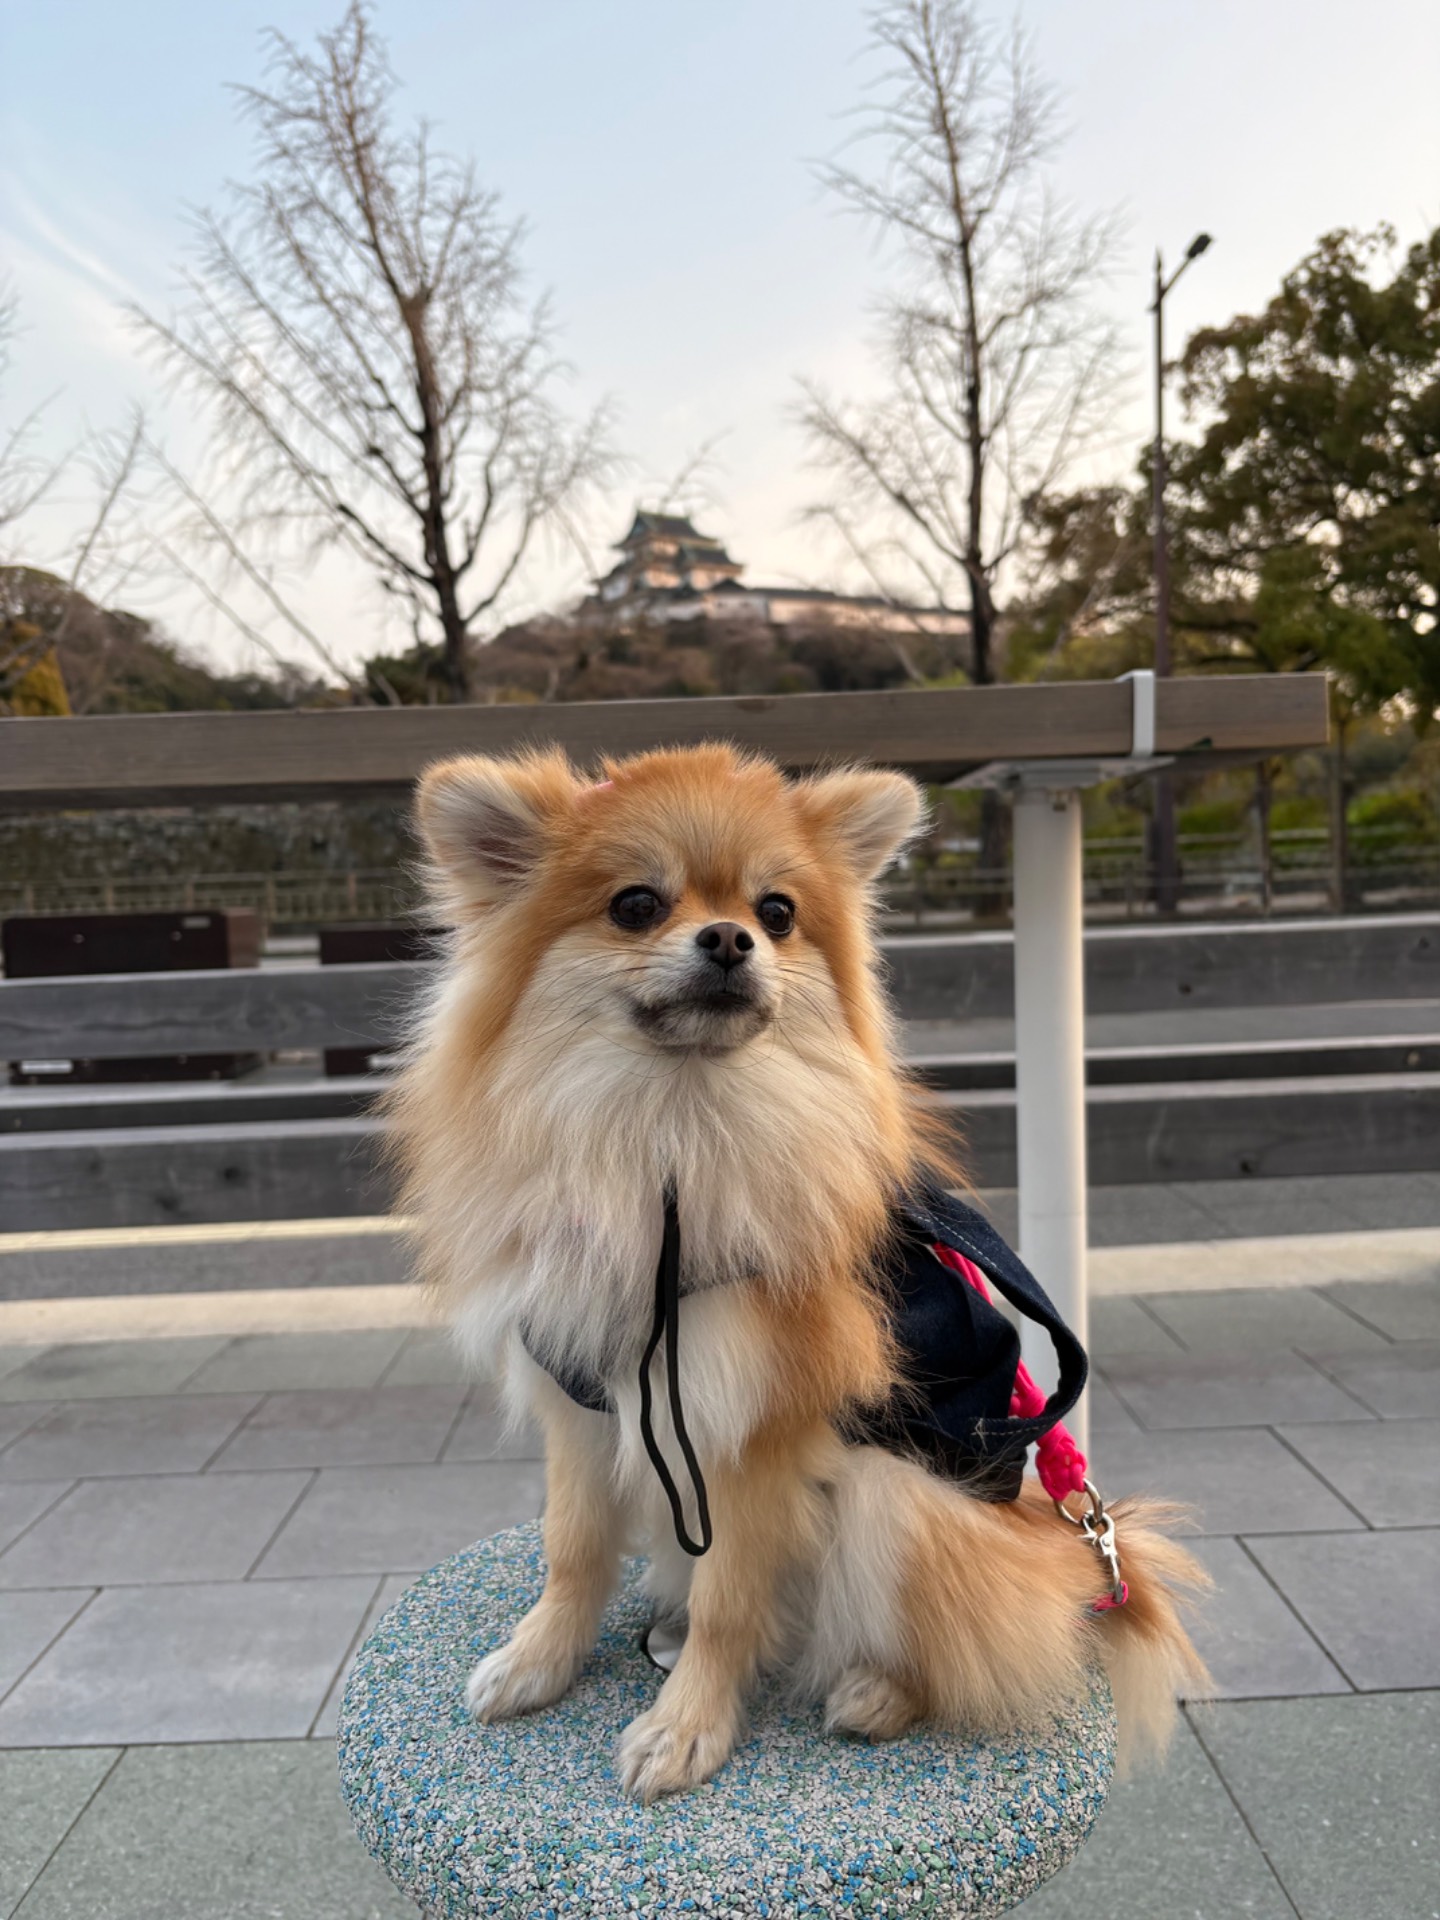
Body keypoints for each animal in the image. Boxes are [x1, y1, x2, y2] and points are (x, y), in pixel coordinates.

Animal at [390, 742, 1208, 1802]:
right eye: (635, 905)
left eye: (777, 911)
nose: (731, 938)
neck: (674, 1137)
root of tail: (1056, 1537)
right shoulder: (583, 1397)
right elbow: (571, 1550)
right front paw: (539, 1661)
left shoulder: (756, 1426)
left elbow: (730, 1597)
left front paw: (686, 1727)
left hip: (906, 1494)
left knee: (971, 1633)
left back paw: (876, 1691)